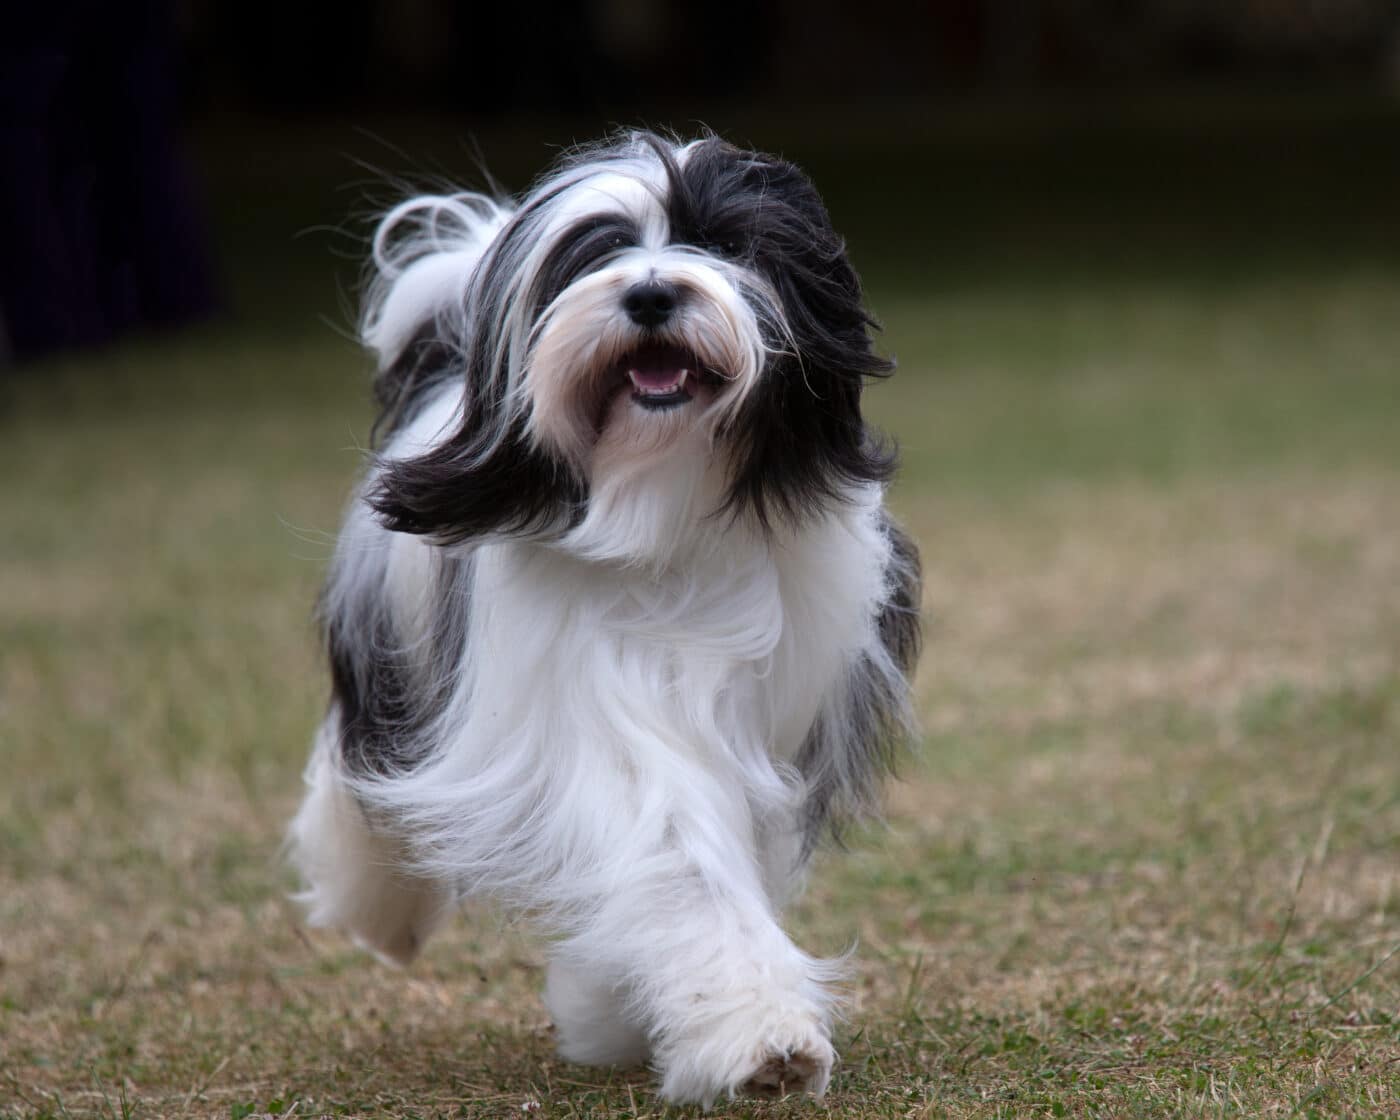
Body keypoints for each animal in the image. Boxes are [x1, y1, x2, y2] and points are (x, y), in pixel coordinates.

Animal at [287, 131, 918, 1103]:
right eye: (596, 256)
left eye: (723, 243)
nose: (652, 292)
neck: (661, 509)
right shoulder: (587, 709)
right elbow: (678, 853)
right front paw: (759, 1034)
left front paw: (648, 1017)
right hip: (387, 658)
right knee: (360, 775)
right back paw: (379, 906)